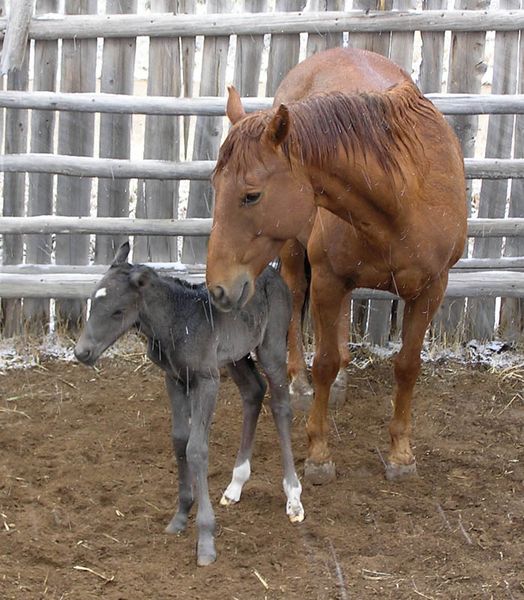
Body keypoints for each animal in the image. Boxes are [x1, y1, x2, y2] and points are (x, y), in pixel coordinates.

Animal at [73, 243, 302, 568]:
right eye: (92, 302)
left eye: (118, 311)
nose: (82, 352)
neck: (177, 322)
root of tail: (273, 271)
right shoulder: (174, 378)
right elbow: (179, 440)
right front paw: (181, 516)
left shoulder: (206, 380)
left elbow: (197, 448)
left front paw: (205, 539)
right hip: (234, 357)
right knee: (253, 392)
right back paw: (235, 485)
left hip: (271, 346)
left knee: (281, 405)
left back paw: (294, 498)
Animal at [206, 49, 466, 486]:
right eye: (215, 186)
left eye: (251, 195)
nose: (218, 287)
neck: (404, 193)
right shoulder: (328, 279)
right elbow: (322, 363)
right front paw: (319, 453)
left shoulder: (433, 288)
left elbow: (408, 366)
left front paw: (400, 454)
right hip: (296, 254)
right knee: (296, 300)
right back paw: (298, 383)